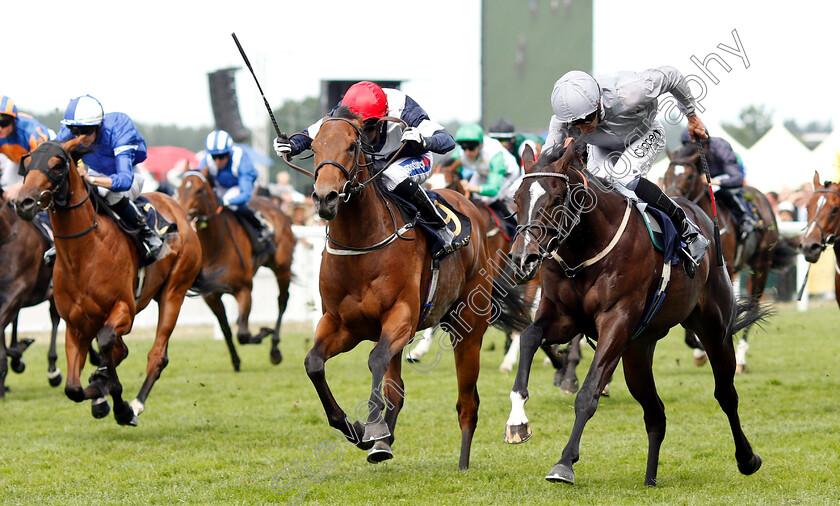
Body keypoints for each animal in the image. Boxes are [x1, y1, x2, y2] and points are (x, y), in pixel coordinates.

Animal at [174, 171, 296, 372]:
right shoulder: (212, 296)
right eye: (179, 188)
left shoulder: (244, 289)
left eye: (198, 190)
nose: (182, 215)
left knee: (282, 301)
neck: (216, 246)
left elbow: (243, 334)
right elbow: (227, 330)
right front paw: (236, 361)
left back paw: (275, 349)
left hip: (282, 267)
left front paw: (264, 332)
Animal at [502, 141, 764, 486]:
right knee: (655, 412)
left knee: (726, 394)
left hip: (714, 329)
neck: (587, 247)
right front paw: (517, 421)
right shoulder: (562, 317)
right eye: (517, 198)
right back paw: (650, 479)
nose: (523, 258)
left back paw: (747, 458)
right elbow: (530, 337)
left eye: (557, 198)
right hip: (638, 349)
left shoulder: (617, 321)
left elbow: (588, 393)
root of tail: (703, 216)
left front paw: (564, 463)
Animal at [664, 142, 796, 372]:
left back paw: (741, 358)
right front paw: (698, 348)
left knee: (754, 305)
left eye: (689, 176)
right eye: (666, 174)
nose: (670, 197)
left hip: (761, 264)